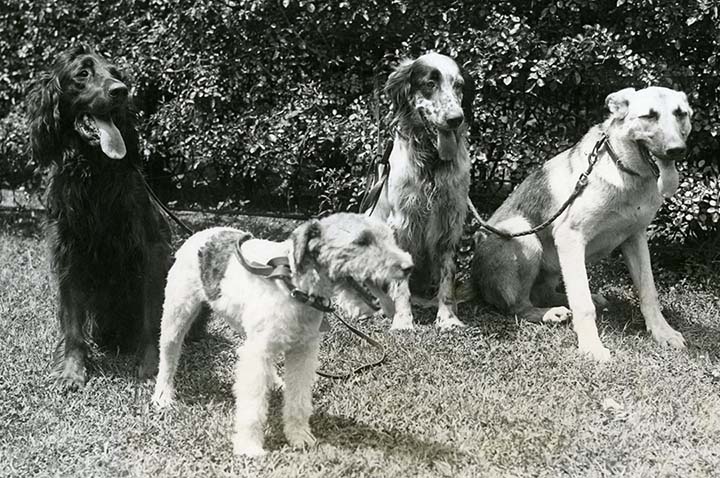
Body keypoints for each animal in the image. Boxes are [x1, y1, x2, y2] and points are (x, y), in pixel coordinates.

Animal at [27, 44, 172, 388]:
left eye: (116, 73)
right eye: (83, 73)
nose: (121, 91)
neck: (94, 170)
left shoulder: (151, 251)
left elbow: (151, 317)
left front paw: (149, 365)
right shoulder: (67, 251)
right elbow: (72, 323)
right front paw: (73, 370)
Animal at [151, 213, 410, 456]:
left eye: (390, 236)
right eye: (362, 240)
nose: (408, 267)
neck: (295, 286)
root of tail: (202, 234)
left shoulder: (303, 352)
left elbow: (298, 400)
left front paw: (299, 436)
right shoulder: (258, 353)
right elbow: (253, 406)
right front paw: (249, 447)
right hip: (177, 315)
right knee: (168, 357)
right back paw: (163, 396)